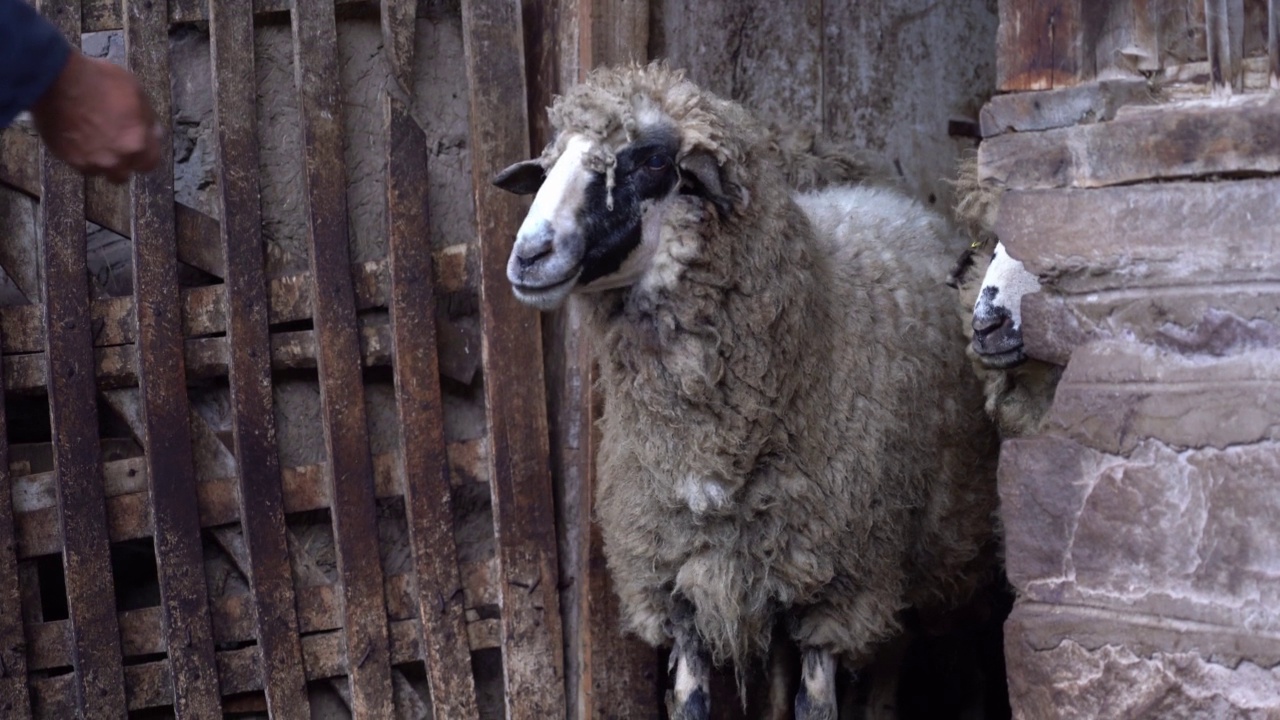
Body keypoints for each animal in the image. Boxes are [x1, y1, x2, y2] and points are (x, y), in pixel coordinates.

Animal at [488, 63, 998, 717]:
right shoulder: (680, 580)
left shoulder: (833, 586)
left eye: (652, 161)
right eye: (547, 165)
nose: (529, 256)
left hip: (932, 551)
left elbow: (817, 704)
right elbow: (690, 701)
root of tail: (886, 201)